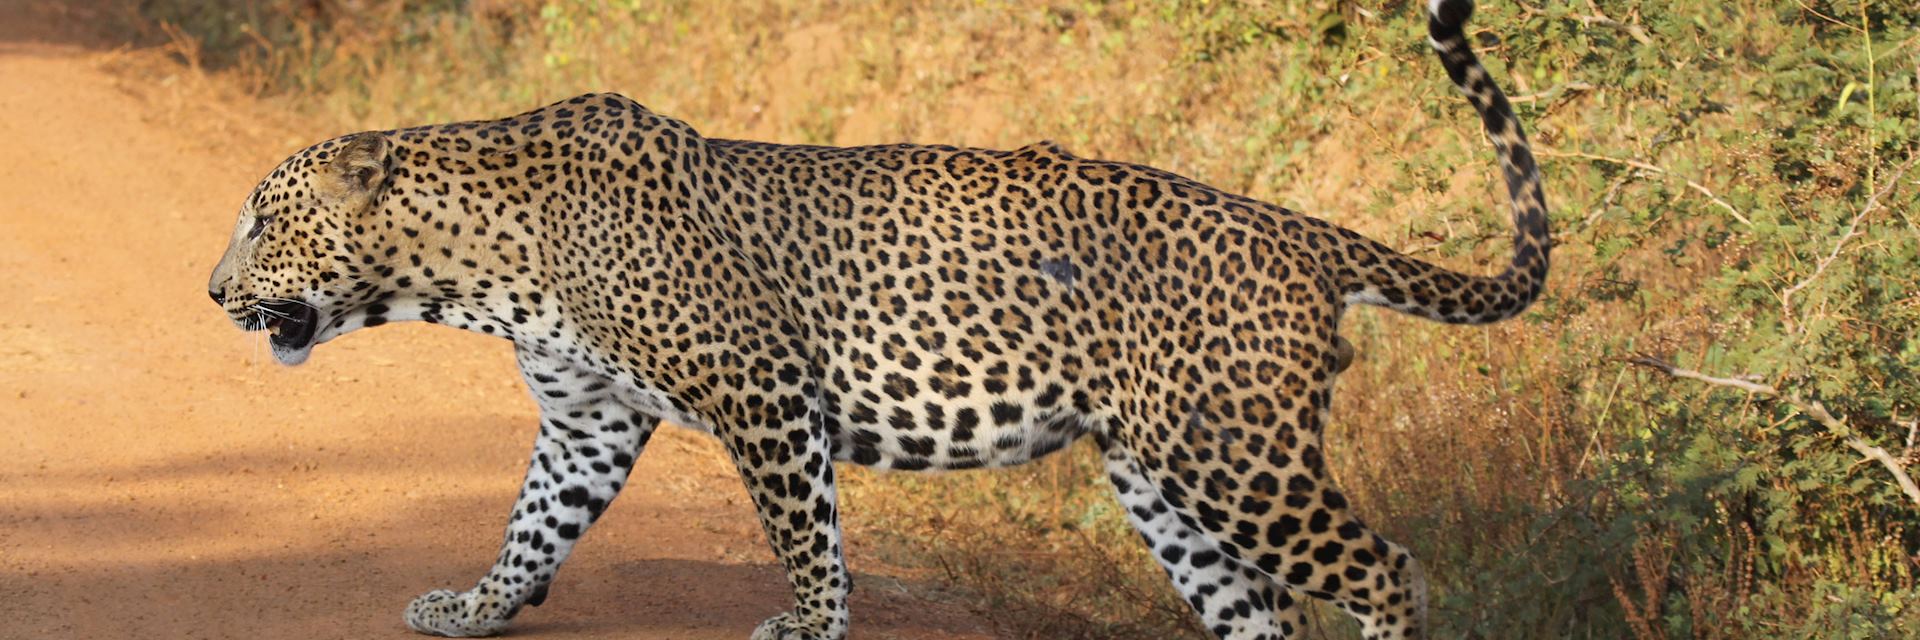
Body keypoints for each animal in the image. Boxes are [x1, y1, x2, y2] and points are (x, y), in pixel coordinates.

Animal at [206, 2, 1543, 634]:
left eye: (262, 221)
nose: (213, 294)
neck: (481, 272)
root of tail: (1303, 232)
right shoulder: (587, 421)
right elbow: (533, 525)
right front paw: (477, 608)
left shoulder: (758, 389)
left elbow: (806, 531)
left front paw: (808, 624)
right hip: (1164, 477)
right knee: (1261, 609)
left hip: (1237, 454)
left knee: (1388, 570)